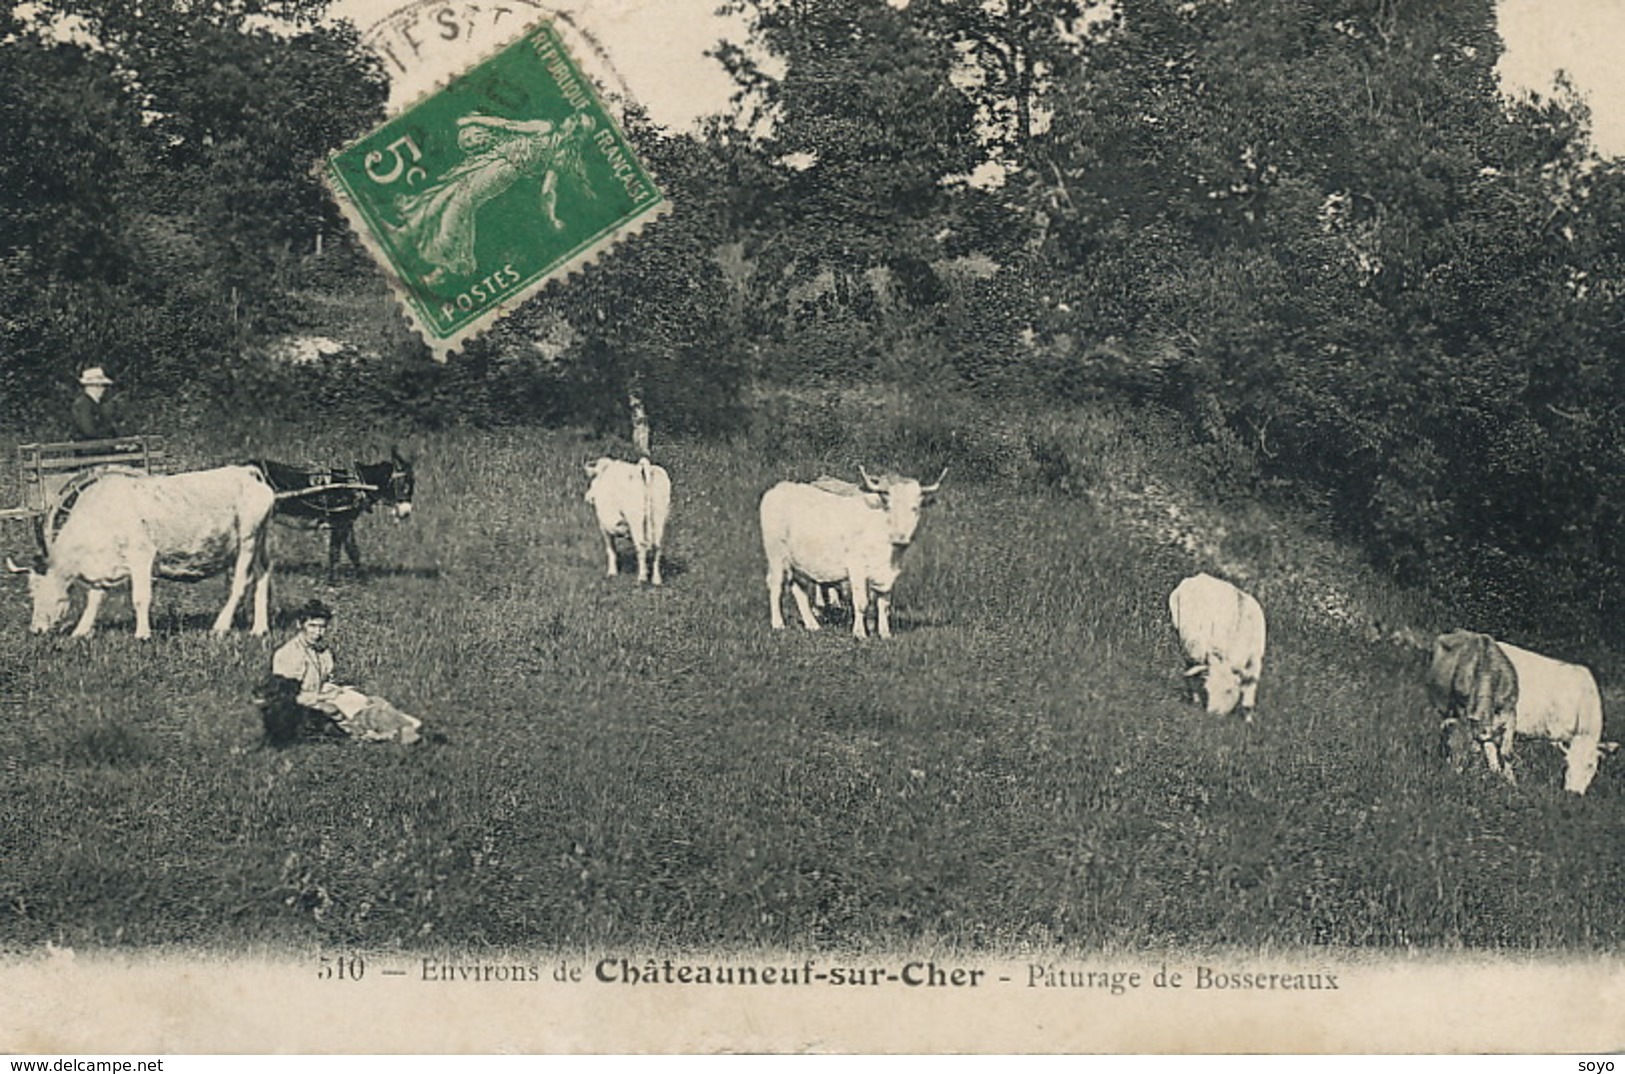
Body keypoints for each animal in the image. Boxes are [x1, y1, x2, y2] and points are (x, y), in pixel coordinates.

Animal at [3, 461, 276, 636]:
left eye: (38, 591)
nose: (35, 629)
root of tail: (246, 472)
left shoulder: (142, 556)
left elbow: (140, 598)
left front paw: (143, 633)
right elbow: (95, 598)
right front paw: (81, 631)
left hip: (248, 538)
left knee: (242, 581)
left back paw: (221, 626)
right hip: (259, 540)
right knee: (263, 574)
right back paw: (259, 628)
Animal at [585, 454, 672, 584]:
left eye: (594, 478)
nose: (588, 497)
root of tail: (643, 468)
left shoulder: (604, 526)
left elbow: (611, 549)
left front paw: (612, 572)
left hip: (635, 519)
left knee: (641, 545)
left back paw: (641, 578)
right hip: (658, 518)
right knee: (656, 547)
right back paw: (656, 579)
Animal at [1170, 575, 1267, 714]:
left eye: (1229, 690)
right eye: (1208, 689)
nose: (1213, 714)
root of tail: (1200, 577)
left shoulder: (1256, 658)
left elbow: (1250, 688)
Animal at [1430, 627, 1514, 770]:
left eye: (1468, 748)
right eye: (1449, 746)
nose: (1452, 771)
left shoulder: (1510, 712)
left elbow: (1504, 751)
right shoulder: (1461, 708)